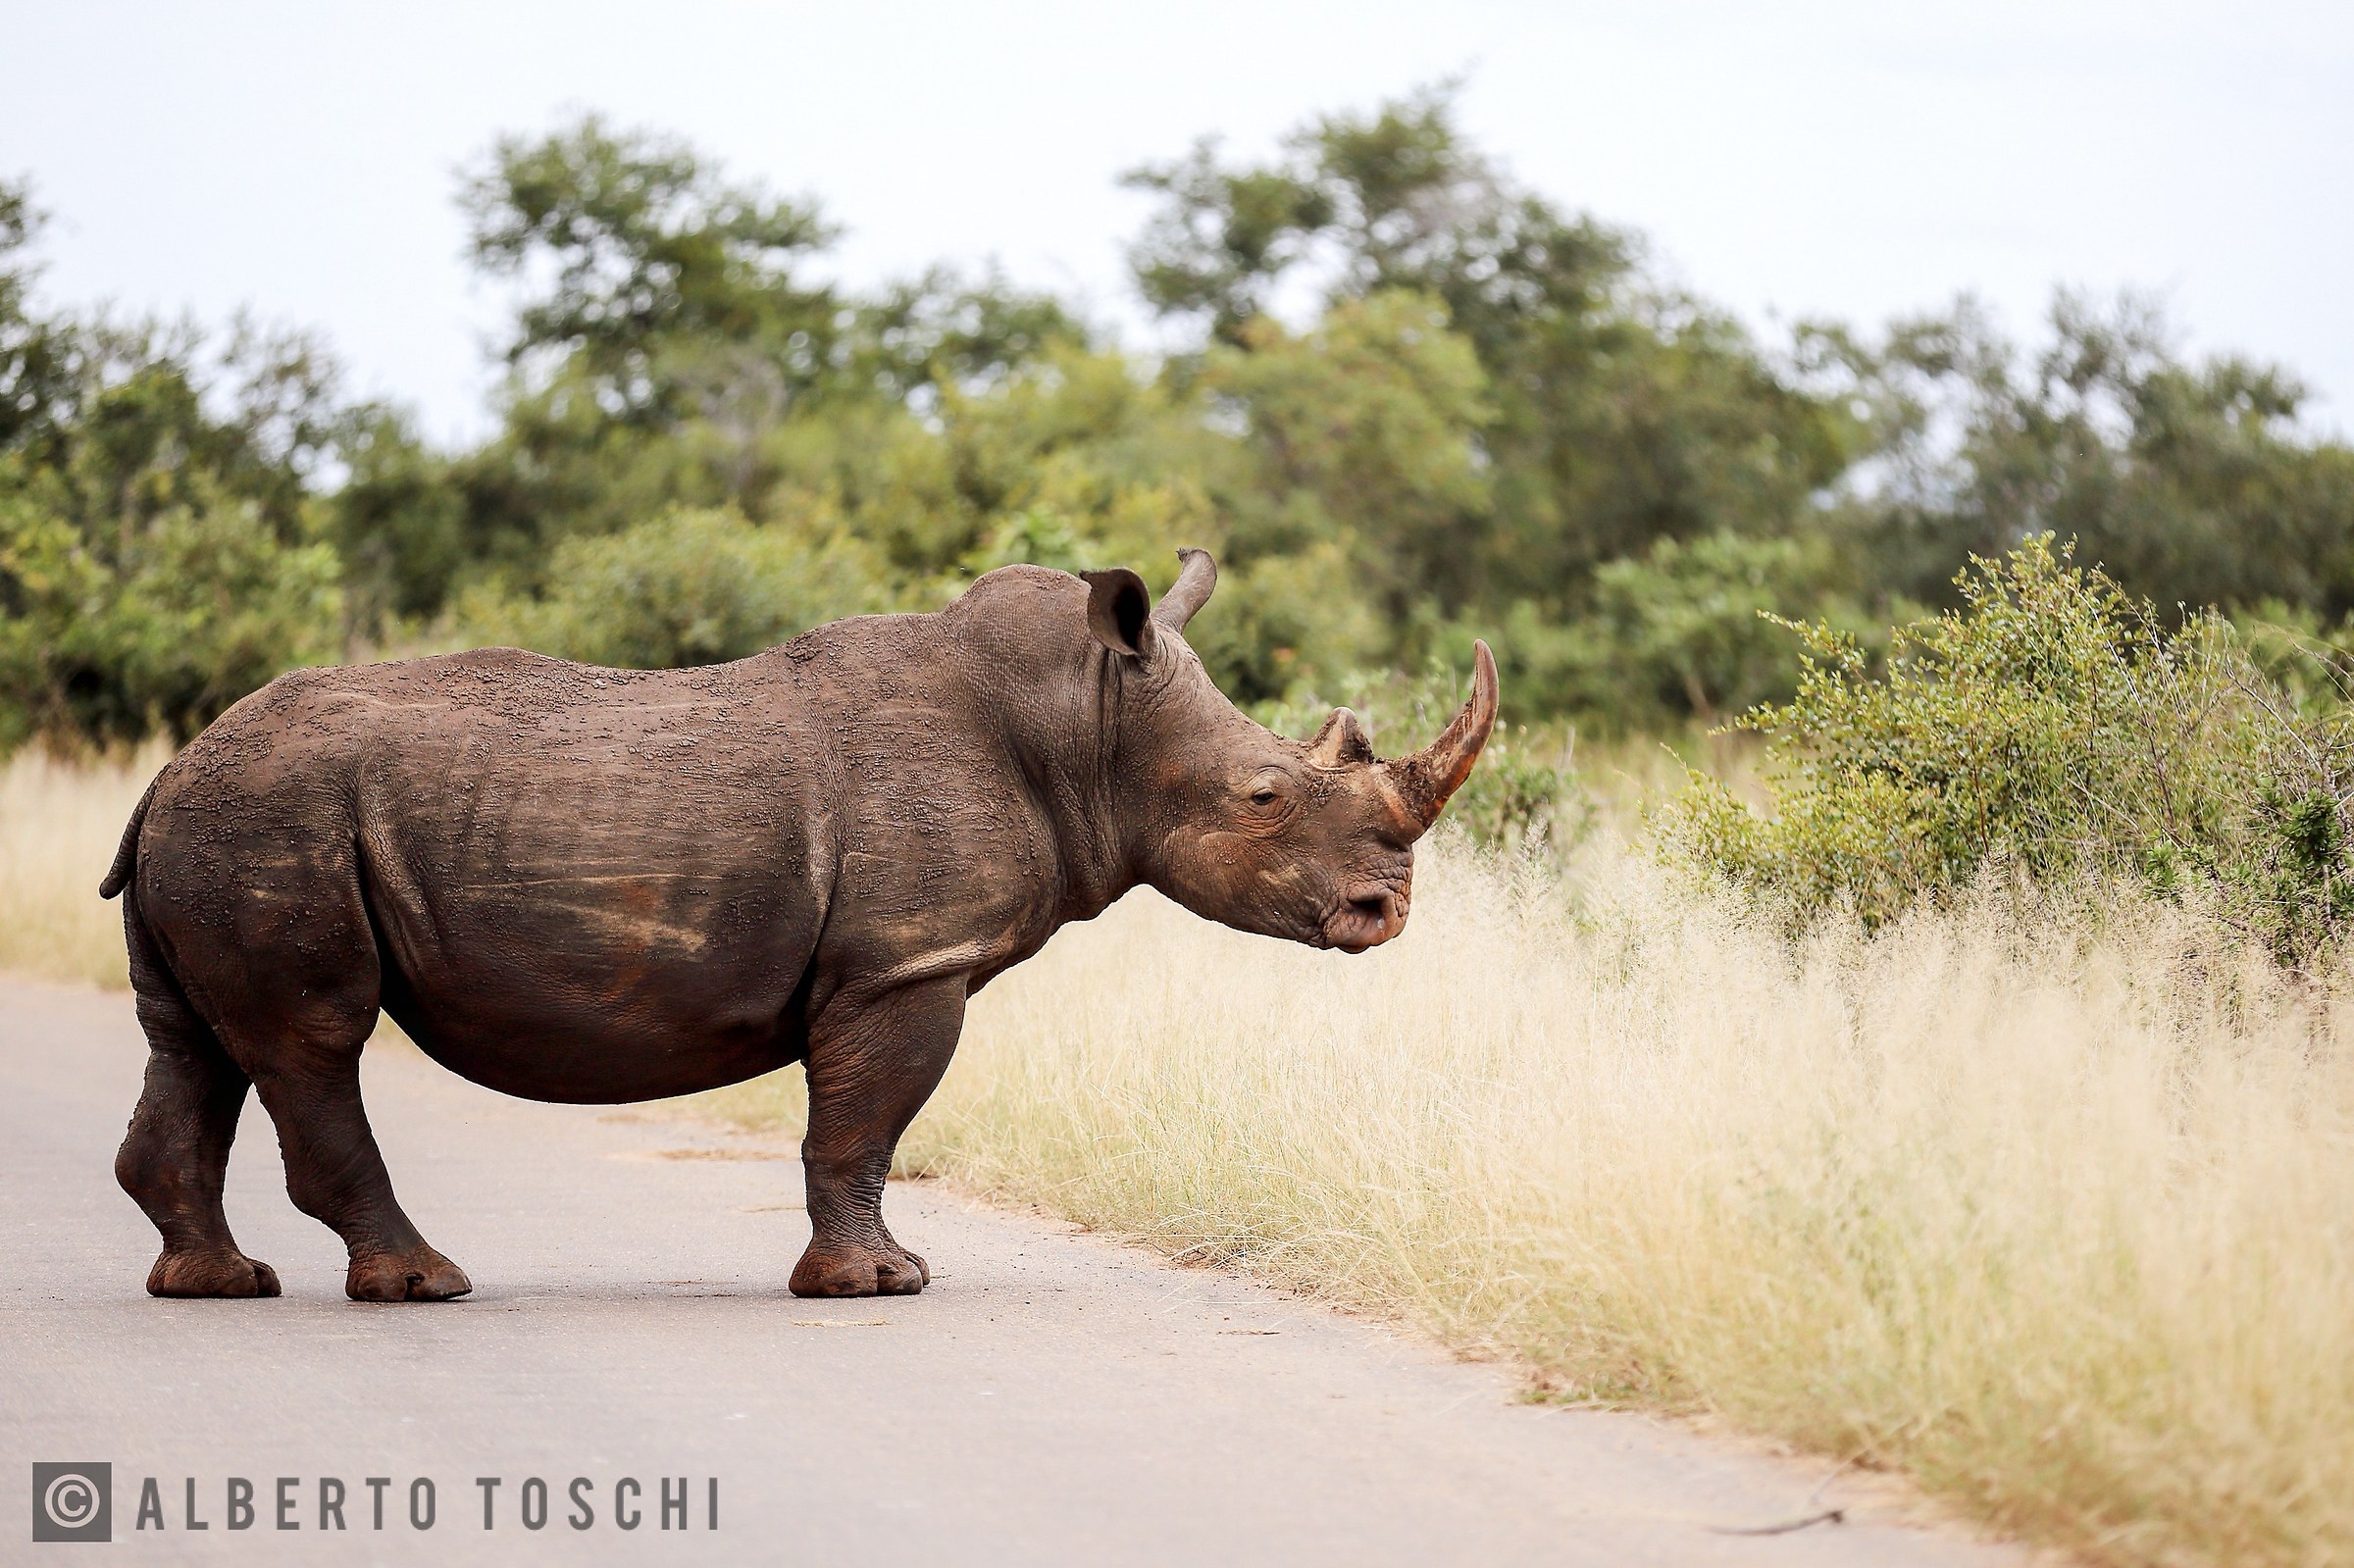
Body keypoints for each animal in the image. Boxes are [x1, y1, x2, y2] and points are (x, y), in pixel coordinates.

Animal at [102, 551, 1497, 1301]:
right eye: (1264, 798)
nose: (1384, 913)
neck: (1089, 720)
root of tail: (166, 769)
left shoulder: (895, 959)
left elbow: (860, 1127)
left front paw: (874, 1277)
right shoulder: (906, 962)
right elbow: (862, 1125)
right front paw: (883, 1285)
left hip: (223, 822)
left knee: (200, 1045)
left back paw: (220, 1287)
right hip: (275, 816)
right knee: (313, 1040)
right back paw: (423, 1286)